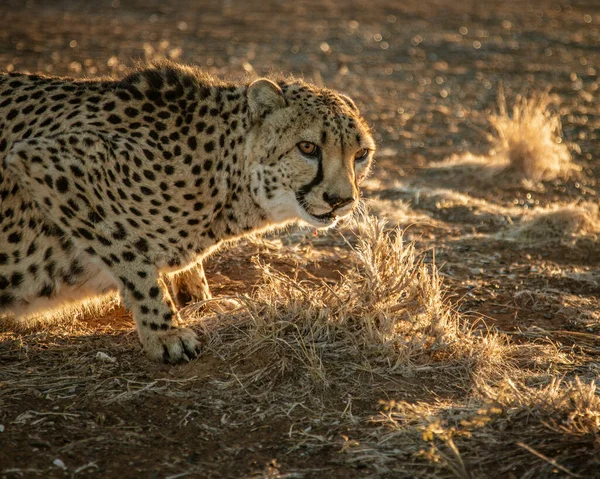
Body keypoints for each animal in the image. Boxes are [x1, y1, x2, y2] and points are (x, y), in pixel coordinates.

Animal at [0, 62, 376, 364]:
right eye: (307, 147)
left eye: (361, 155)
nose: (341, 200)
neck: (222, 170)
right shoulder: (45, 162)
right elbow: (132, 258)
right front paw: (164, 332)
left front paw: (200, 300)